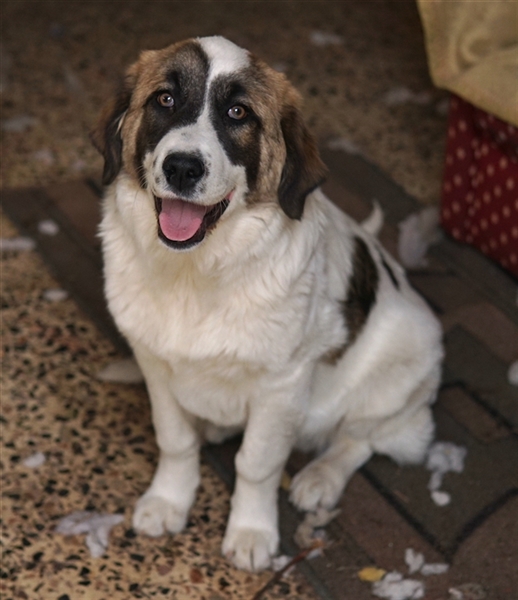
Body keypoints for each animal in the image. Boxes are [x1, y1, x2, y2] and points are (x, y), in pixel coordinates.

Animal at [92, 36, 443, 572]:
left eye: (239, 113)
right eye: (164, 100)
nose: (182, 167)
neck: (196, 274)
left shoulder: (282, 384)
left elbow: (257, 463)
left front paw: (251, 530)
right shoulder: (155, 362)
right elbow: (174, 439)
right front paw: (170, 500)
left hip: (405, 367)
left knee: (362, 437)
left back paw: (320, 477)